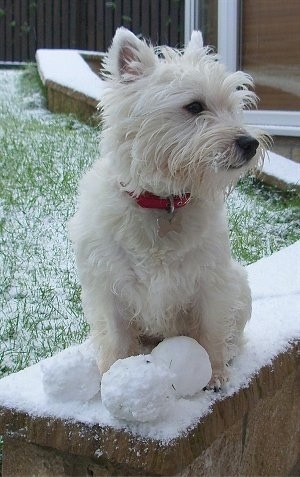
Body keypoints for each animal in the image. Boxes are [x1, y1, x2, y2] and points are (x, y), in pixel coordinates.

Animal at [69, 27, 268, 386]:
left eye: (234, 106)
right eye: (194, 106)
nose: (250, 143)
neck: (163, 203)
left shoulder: (210, 282)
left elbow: (211, 329)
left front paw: (215, 373)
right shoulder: (108, 286)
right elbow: (116, 338)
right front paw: (113, 377)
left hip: (239, 283)